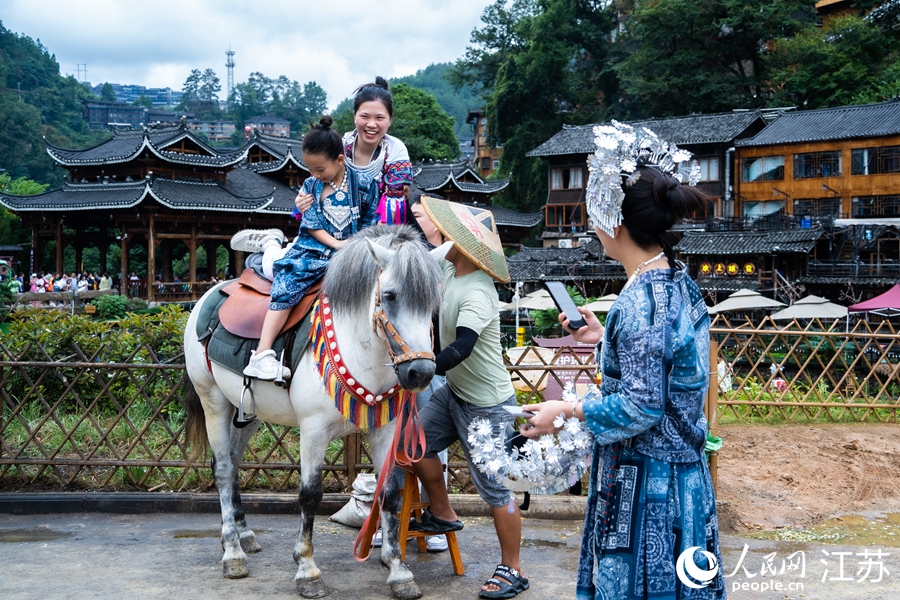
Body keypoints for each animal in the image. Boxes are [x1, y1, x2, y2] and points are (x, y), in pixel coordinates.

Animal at [183, 226, 450, 600]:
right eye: (391, 295)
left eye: (432, 302)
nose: (421, 373)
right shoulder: (313, 431)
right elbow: (309, 496)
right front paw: (307, 569)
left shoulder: (386, 430)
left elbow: (390, 495)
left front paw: (398, 570)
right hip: (213, 401)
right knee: (222, 469)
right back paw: (233, 552)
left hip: (247, 411)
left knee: (233, 463)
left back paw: (244, 535)